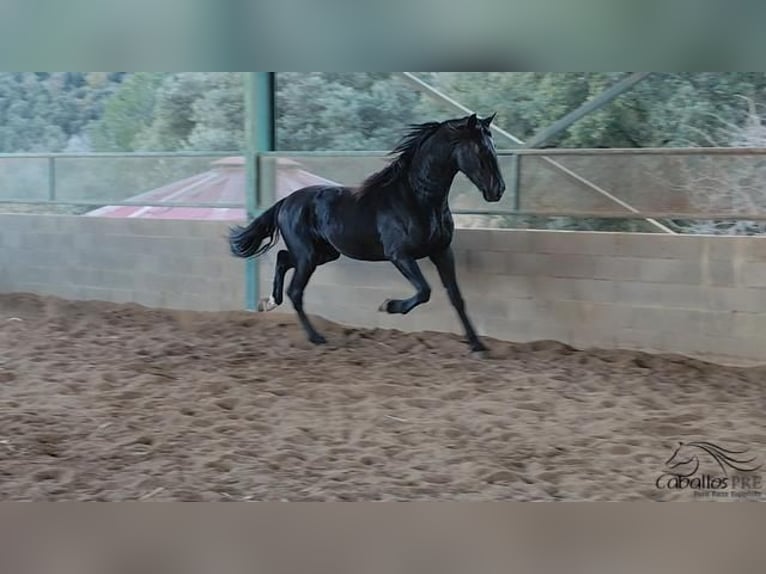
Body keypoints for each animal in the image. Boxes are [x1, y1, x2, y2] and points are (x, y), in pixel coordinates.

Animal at [228, 113, 504, 354]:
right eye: (480, 150)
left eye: (493, 147)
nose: (498, 190)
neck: (417, 198)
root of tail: (285, 201)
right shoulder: (399, 255)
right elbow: (424, 291)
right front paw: (388, 306)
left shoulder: (442, 252)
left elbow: (456, 297)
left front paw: (478, 346)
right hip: (308, 256)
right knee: (295, 291)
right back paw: (316, 337)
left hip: (323, 254)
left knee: (283, 259)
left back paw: (269, 302)